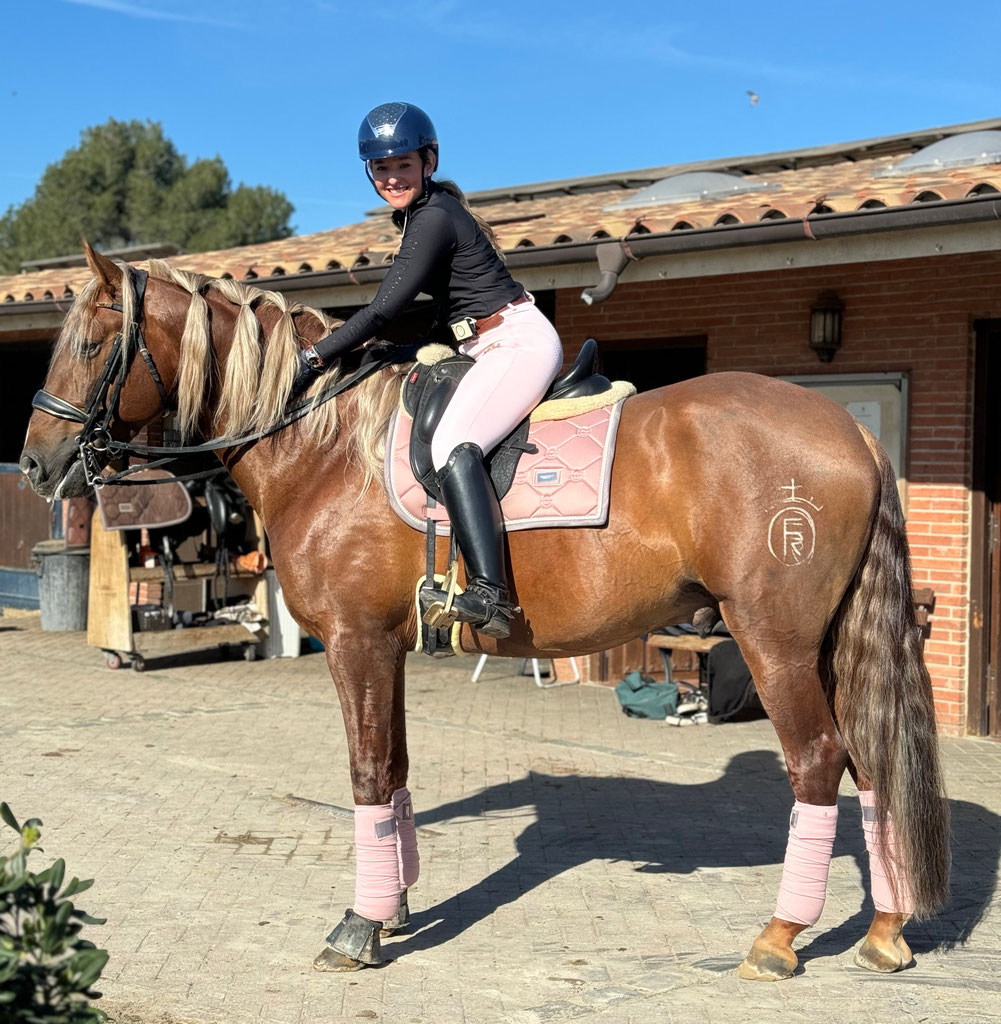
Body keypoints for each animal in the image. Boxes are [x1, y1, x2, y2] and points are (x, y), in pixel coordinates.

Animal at [19, 244, 949, 982]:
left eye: (93, 342)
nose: (35, 462)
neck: (328, 443)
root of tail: (850, 431)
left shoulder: (355, 642)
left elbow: (366, 773)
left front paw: (360, 924)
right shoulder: (386, 645)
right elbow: (393, 768)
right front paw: (394, 905)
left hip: (772, 641)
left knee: (818, 763)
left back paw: (779, 936)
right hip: (827, 644)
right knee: (869, 762)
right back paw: (884, 930)